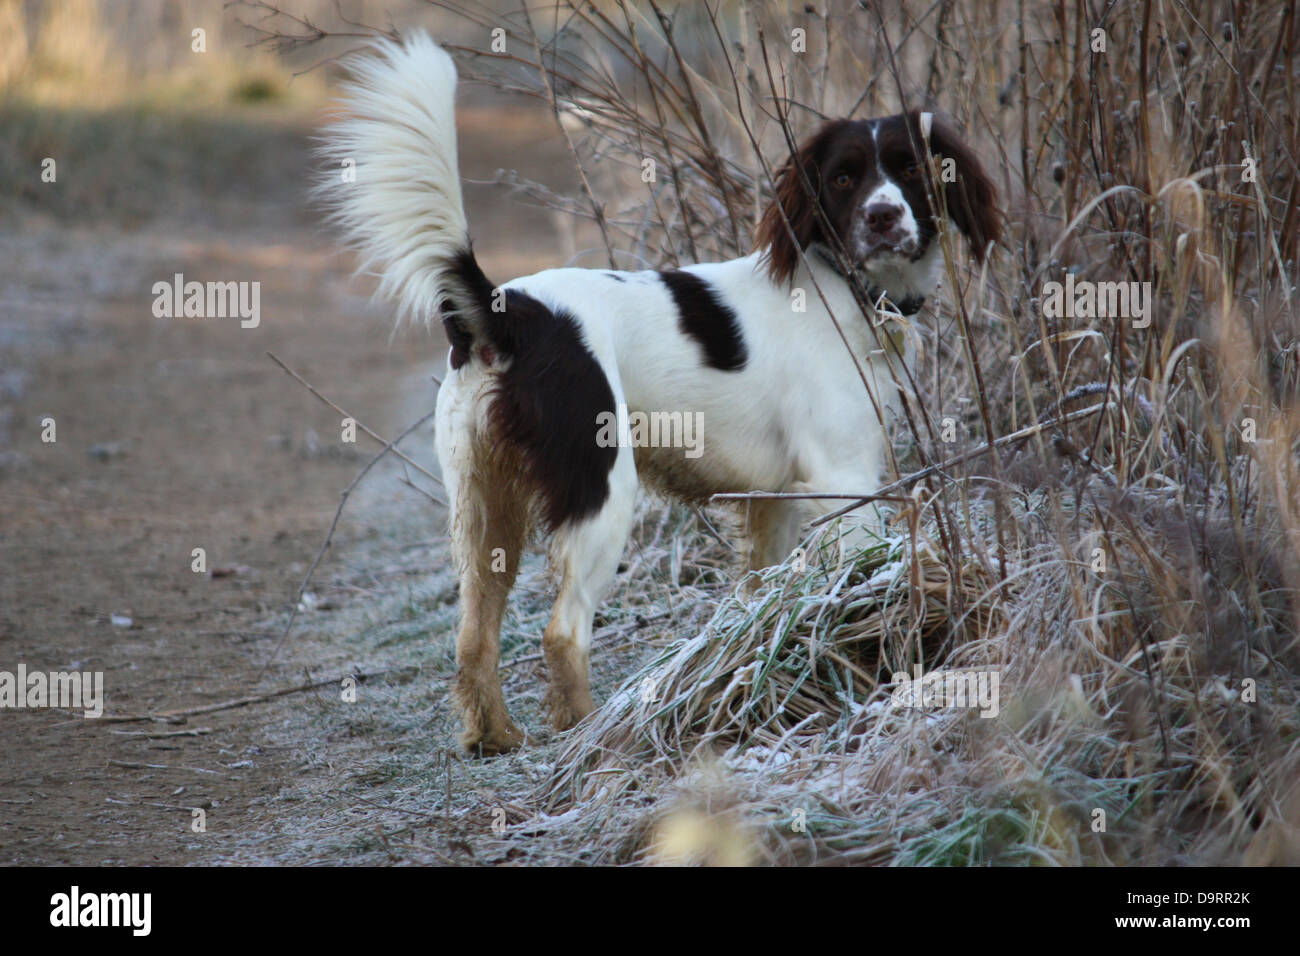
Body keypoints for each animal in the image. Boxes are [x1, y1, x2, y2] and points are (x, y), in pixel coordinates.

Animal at [319, 31, 998, 754]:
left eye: (911, 168)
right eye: (844, 178)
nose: (882, 216)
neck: (846, 289)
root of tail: (509, 312)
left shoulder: (774, 502)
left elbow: (762, 596)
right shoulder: (844, 480)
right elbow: (864, 576)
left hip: (483, 511)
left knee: (474, 637)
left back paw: (495, 736)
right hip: (603, 493)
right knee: (562, 632)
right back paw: (588, 736)